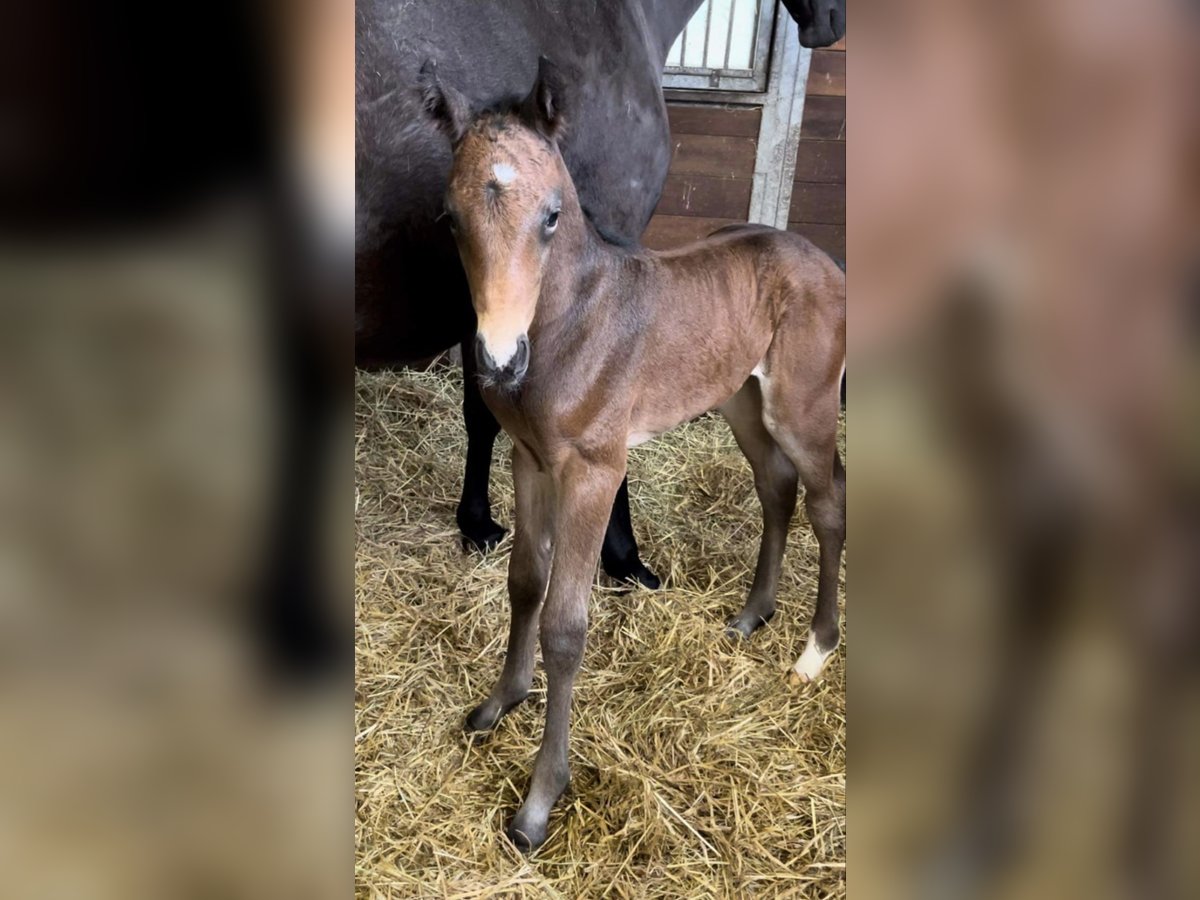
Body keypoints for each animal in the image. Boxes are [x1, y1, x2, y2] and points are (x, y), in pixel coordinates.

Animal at [422, 61, 844, 854]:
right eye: (451, 220)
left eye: (552, 214)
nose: (498, 359)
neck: (572, 323)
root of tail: (821, 257)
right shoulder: (528, 459)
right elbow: (524, 583)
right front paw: (497, 705)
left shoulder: (594, 471)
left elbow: (566, 625)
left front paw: (538, 804)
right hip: (741, 401)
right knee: (776, 488)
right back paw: (752, 617)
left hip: (801, 408)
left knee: (827, 500)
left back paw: (813, 651)